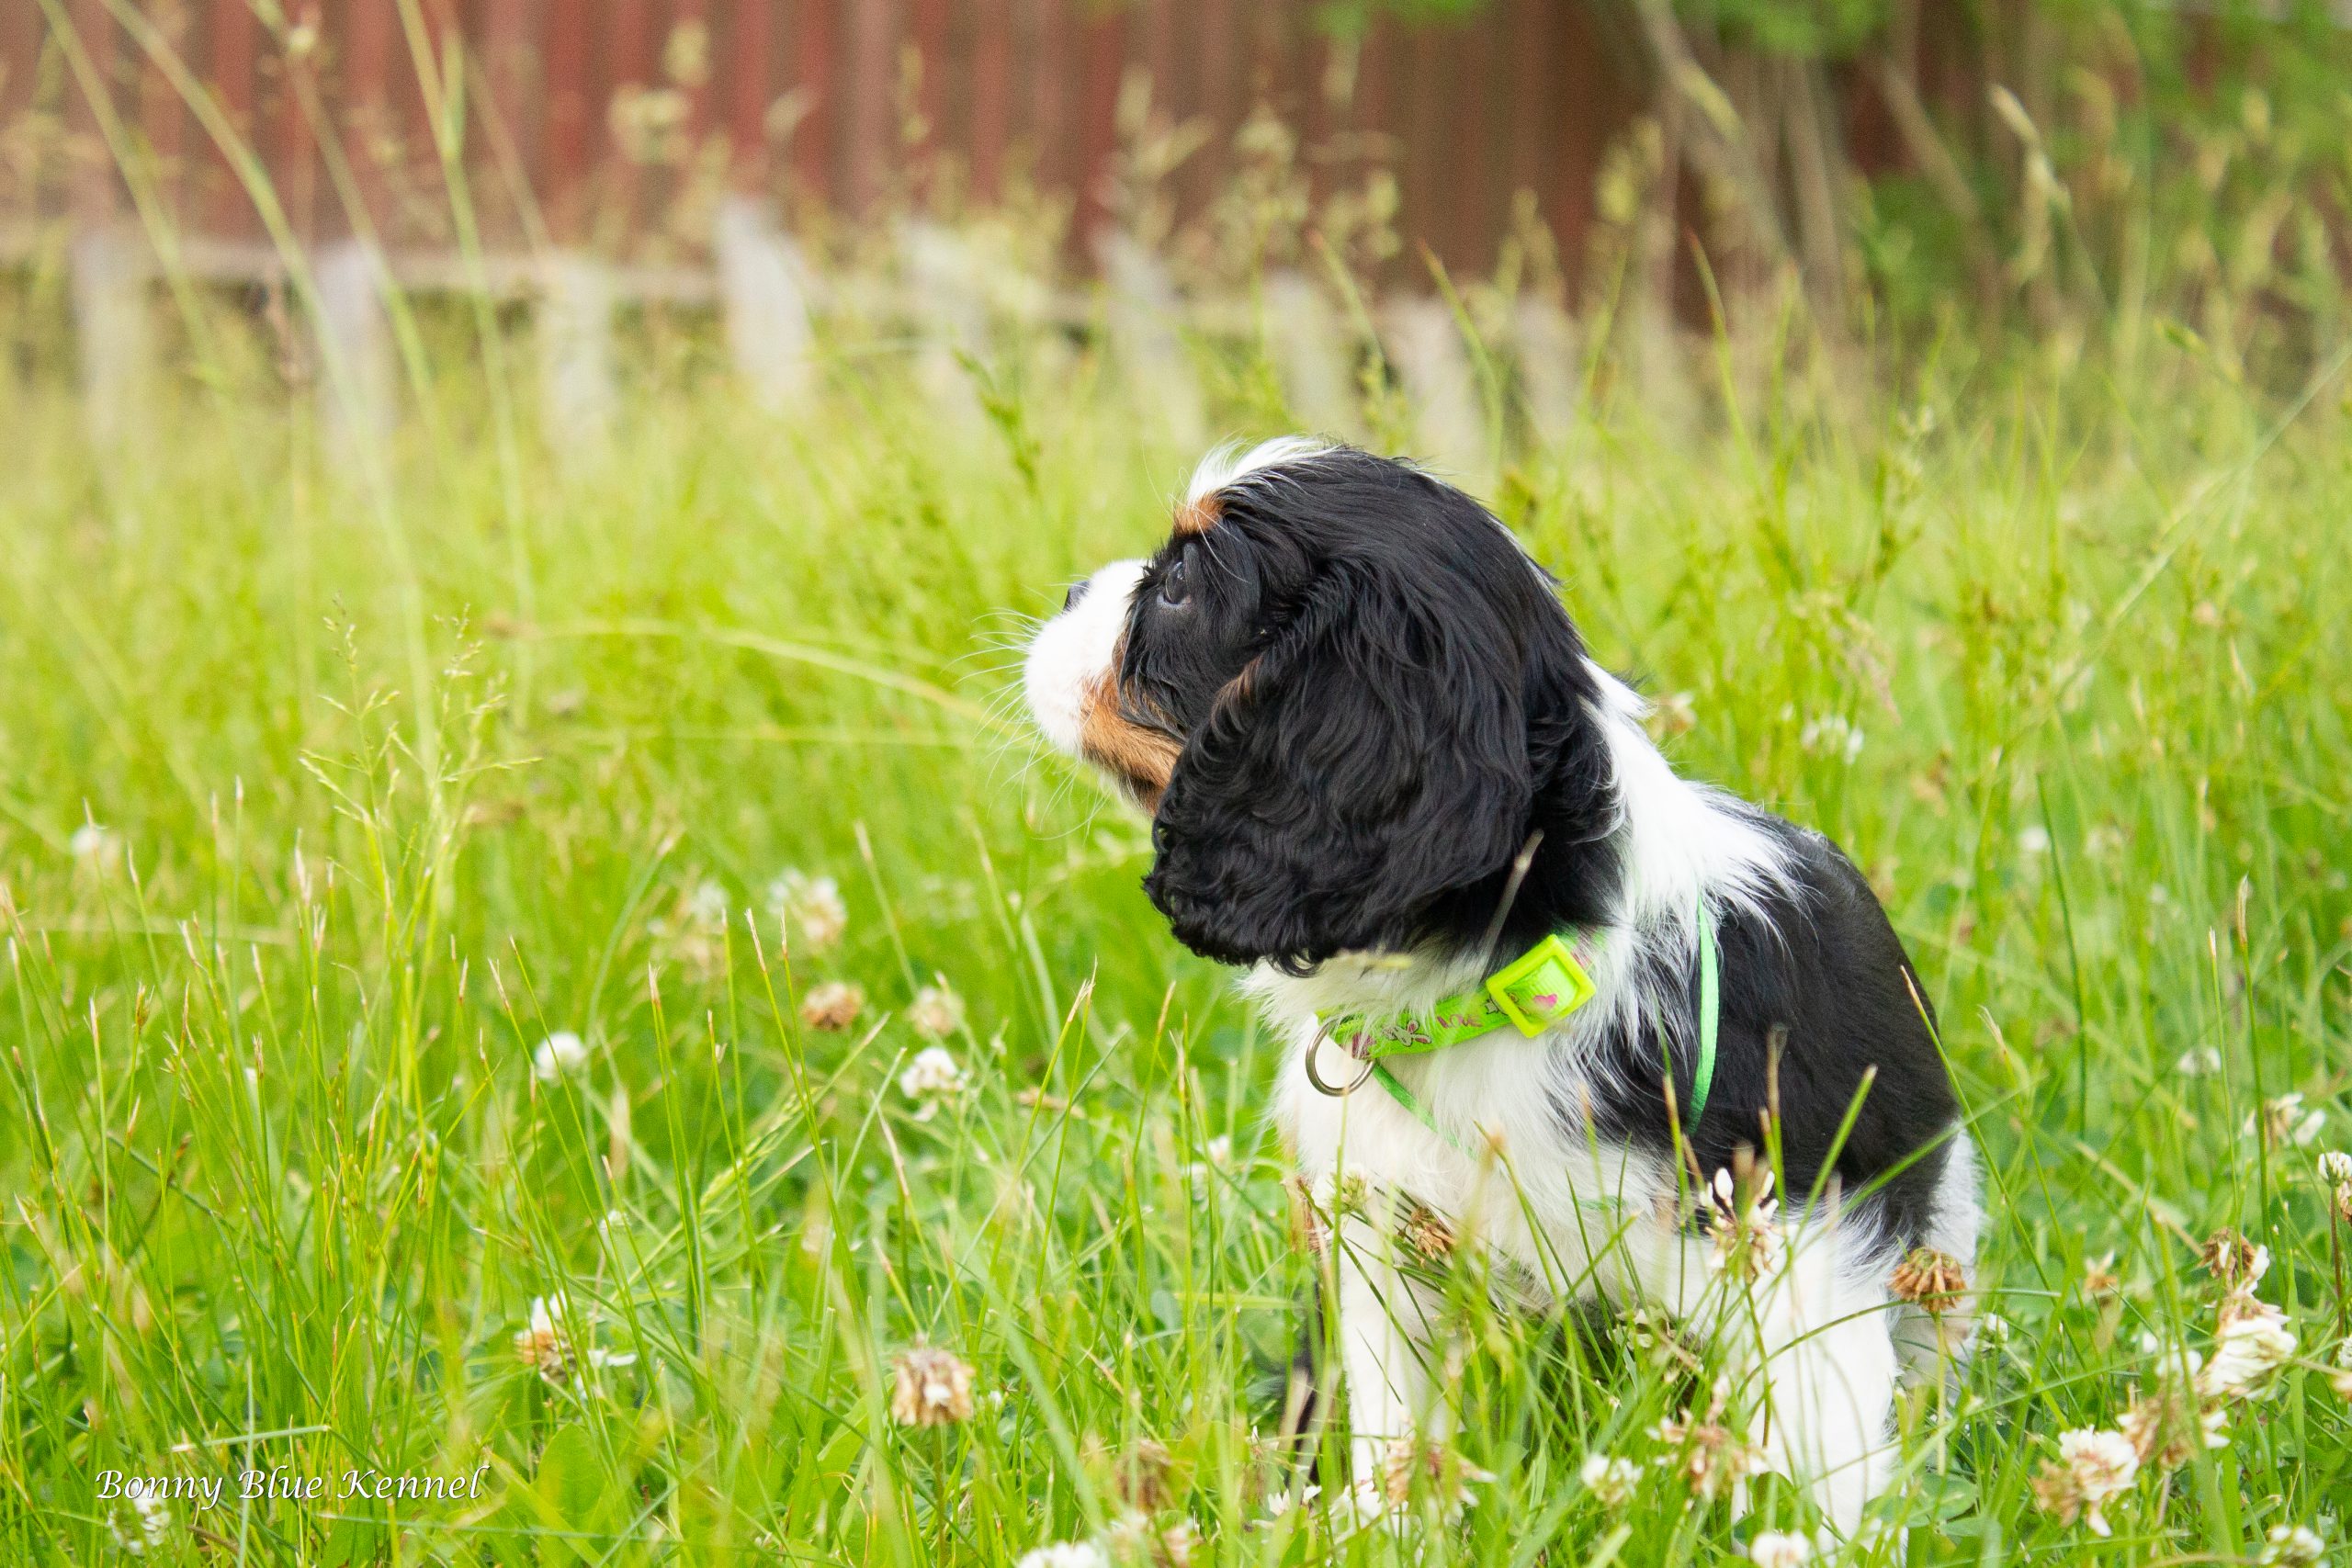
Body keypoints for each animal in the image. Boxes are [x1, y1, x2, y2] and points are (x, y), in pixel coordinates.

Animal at [1021, 439, 1975, 1532]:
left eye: (1177, 587)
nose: (1067, 589)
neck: (1511, 973)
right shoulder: (1384, 1241)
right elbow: (1390, 1420)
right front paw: (1378, 1528)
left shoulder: (1794, 1257)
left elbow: (1817, 1468)